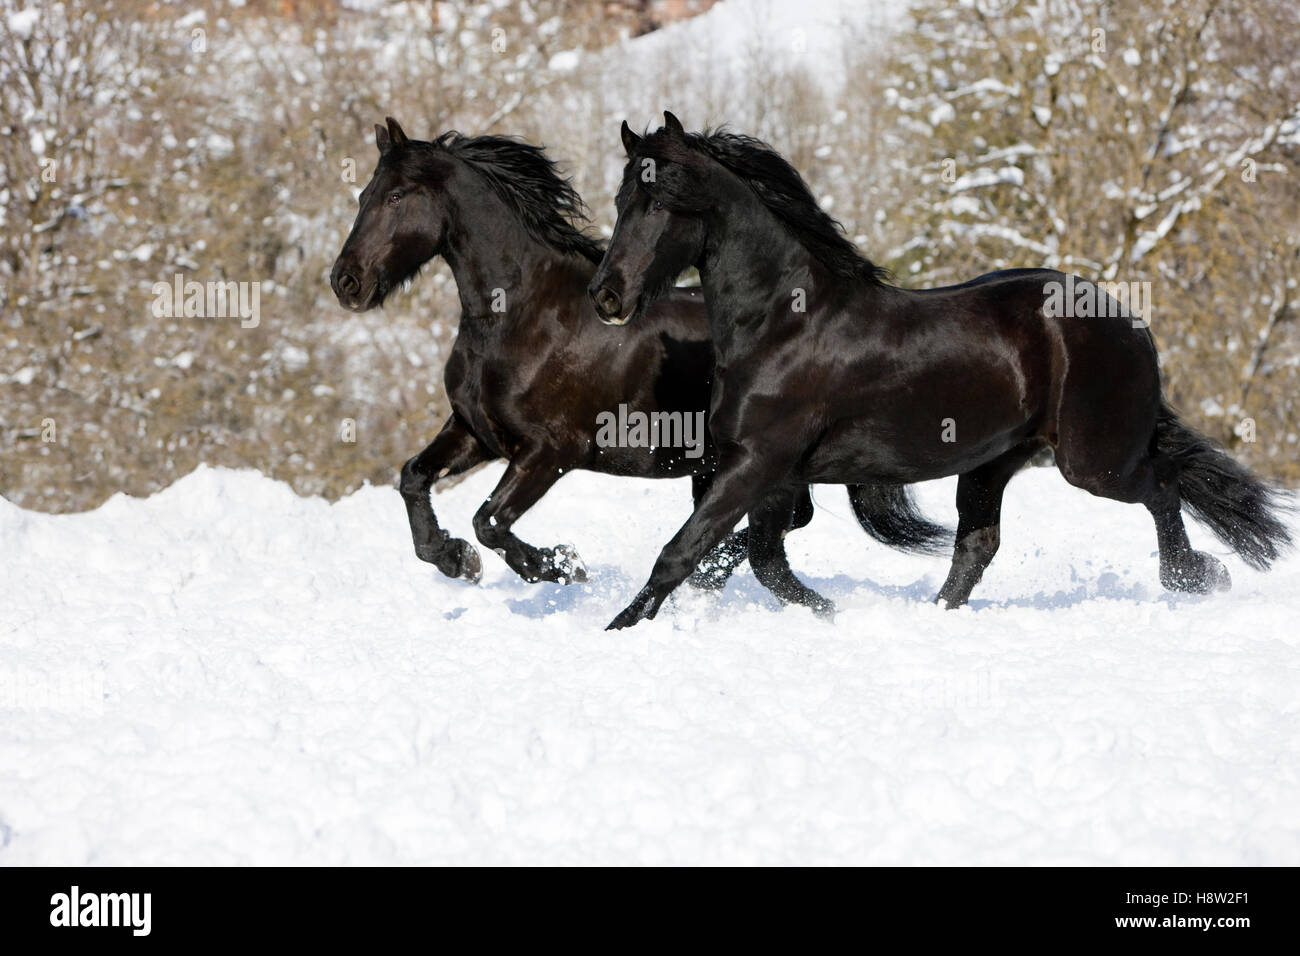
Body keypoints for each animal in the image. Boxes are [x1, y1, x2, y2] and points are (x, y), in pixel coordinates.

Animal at [330, 120, 951, 595]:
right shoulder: (476, 432)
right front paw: (454, 558)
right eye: (361, 195)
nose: (346, 282)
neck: (524, 318)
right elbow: (413, 478)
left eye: (395, 196)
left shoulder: (550, 451)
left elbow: (490, 521)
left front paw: (560, 565)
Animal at [592, 111, 1289, 632]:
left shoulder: (757, 463)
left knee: (1162, 487)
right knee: (977, 547)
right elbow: (765, 563)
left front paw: (617, 628)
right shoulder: (776, 475)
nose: (607, 297)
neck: (783, 325)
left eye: (663, 200)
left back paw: (1194, 577)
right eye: (624, 198)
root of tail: (1127, 319)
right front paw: (829, 614)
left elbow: (684, 551)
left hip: (1092, 461)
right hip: (994, 461)